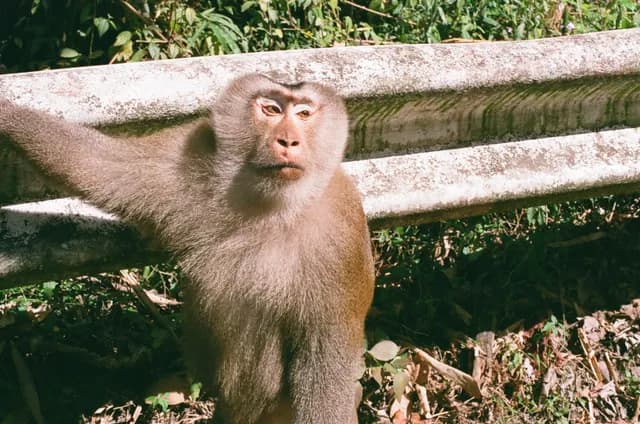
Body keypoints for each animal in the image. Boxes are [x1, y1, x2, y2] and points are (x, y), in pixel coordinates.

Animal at [0, 73, 375, 424]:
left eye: (304, 113)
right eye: (271, 109)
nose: (288, 140)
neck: (273, 206)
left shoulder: (340, 238)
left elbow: (324, 361)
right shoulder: (189, 157)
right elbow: (96, 166)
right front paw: (6, 111)